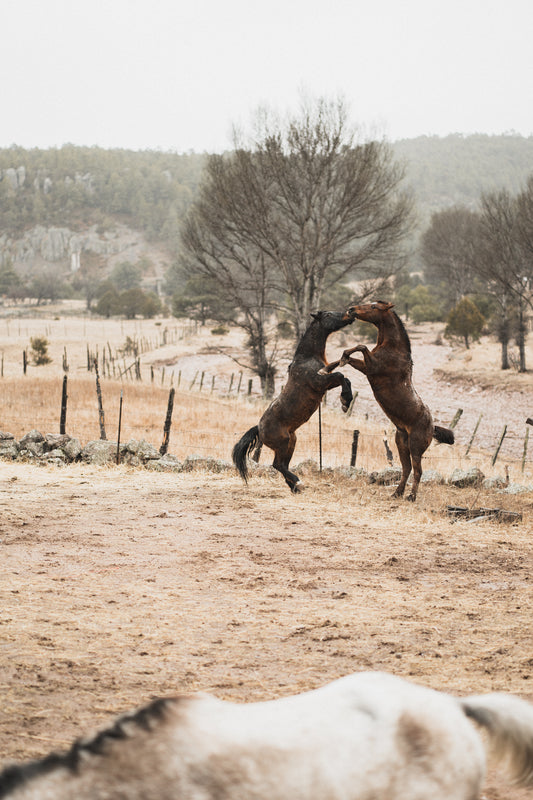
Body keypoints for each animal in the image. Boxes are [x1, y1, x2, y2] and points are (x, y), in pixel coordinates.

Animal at [232, 308, 354, 490]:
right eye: (328, 315)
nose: (350, 315)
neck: (307, 358)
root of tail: (259, 429)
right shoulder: (319, 383)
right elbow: (340, 375)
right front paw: (345, 401)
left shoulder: (326, 383)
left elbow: (345, 378)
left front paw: (346, 400)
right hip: (283, 443)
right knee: (277, 465)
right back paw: (297, 482)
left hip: (292, 441)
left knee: (282, 465)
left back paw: (295, 487)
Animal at [320, 300, 454, 500]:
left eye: (374, 307)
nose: (351, 310)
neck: (393, 348)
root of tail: (432, 427)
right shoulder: (366, 366)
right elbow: (348, 355)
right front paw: (326, 369)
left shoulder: (372, 367)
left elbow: (360, 347)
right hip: (401, 443)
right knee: (406, 468)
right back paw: (397, 493)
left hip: (415, 447)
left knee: (418, 470)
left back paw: (411, 497)